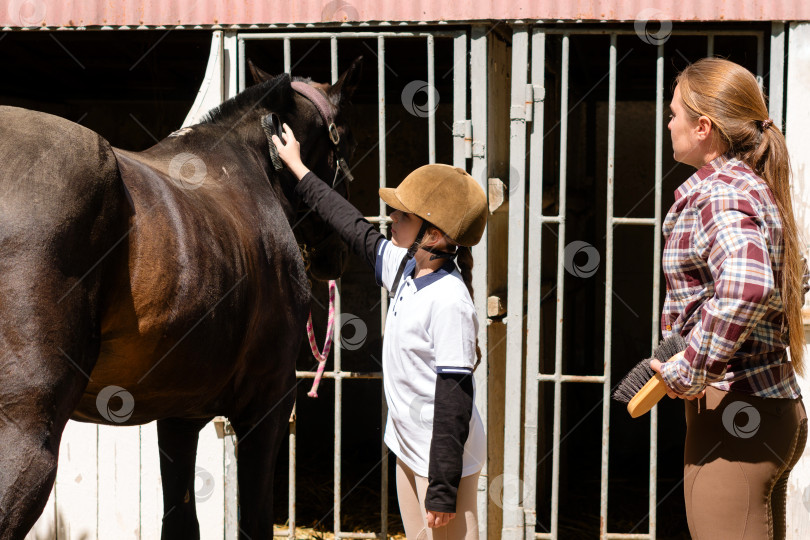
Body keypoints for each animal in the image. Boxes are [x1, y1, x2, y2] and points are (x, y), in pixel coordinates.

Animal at [0, 59, 360, 540]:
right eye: (346, 137)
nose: (334, 256)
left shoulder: (179, 415)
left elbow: (180, 520)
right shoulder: (268, 402)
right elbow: (255, 521)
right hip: (25, 435)